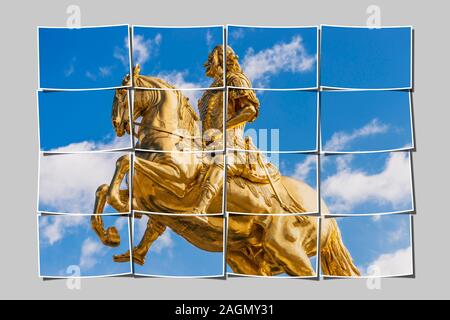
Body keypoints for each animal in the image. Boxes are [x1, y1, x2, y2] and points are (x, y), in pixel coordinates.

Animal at [89, 68, 360, 278]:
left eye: (121, 92)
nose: (116, 124)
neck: (170, 139)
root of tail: (327, 214)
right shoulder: (149, 194)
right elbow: (103, 189)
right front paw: (110, 235)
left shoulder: (176, 180)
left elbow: (124, 161)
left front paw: (119, 209)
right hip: (246, 259)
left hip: (287, 250)